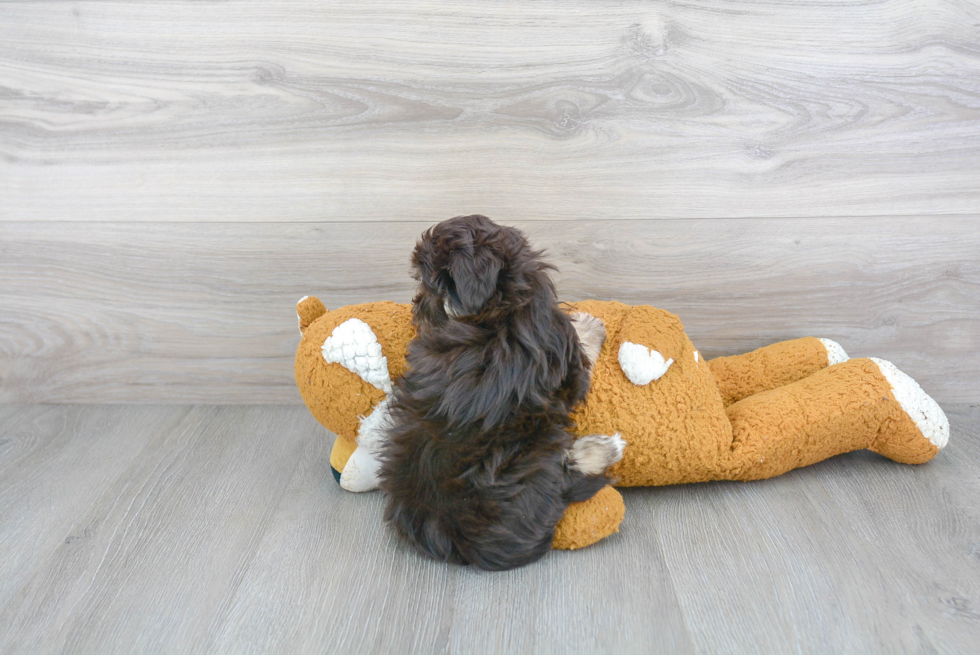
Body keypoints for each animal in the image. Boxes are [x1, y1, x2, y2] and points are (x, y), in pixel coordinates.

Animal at [378, 214, 624, 568]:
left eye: (426, 284)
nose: (416, 308)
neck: (500, 309)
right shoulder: (568, 368)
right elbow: (582, 349)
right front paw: (591, 326)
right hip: (540, 444)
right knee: (565, 467)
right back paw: (604, 449)